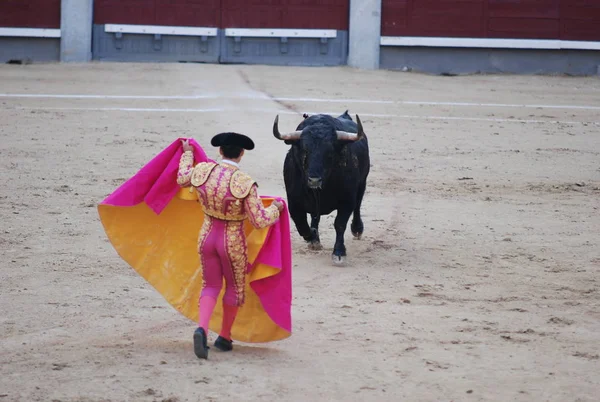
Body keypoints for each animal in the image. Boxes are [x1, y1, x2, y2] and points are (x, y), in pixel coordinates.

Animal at [274, 111, 368, 266]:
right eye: (304, 151)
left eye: (330, 153)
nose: (314, 180)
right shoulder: (294, 203)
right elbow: (302, 225)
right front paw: (313, 237)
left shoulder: (347, 201)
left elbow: (340, 224)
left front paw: (339, 253)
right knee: (314, 217)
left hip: (362, 183)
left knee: (358, 206)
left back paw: (357, 229)